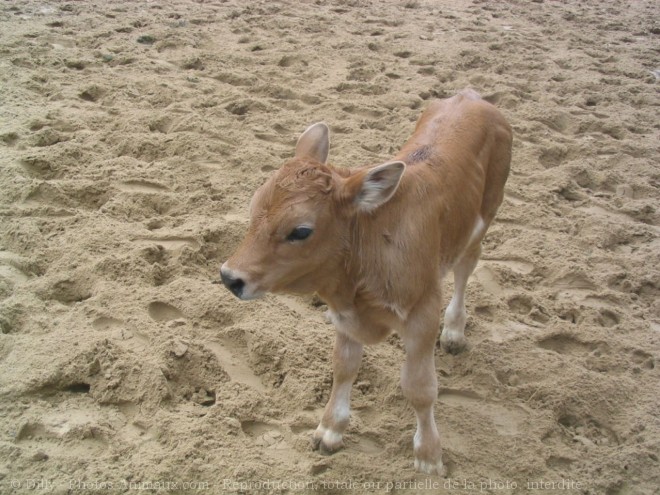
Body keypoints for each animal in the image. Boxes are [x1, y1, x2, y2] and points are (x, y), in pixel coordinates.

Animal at [219, 90, 512, 476]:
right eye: (253, 209)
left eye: (300, 231)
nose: (230, 277)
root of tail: (471, 96)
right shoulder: (345, 315)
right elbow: (344, 367)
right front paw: (330, 429)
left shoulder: (422, 312)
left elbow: (419, 388)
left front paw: (429, 455)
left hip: (483, 221)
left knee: (466, 269)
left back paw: (454, 332)